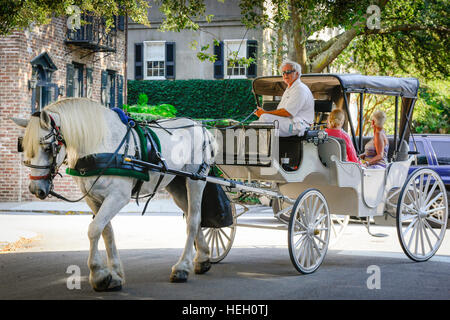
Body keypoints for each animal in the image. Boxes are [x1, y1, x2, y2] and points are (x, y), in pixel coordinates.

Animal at [11, 99, 218, 292]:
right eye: (24, 146)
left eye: (48, 148)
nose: (35, 188)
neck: (99, 145)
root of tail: (200, 127)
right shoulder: (93, 198)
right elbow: (106, 231)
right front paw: (115, 275)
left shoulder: (118, 196)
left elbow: (94, 229)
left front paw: (99, 275)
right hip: (176, 185)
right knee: (192, 216)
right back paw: (202, 258)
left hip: (195, 180)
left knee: (193, 220)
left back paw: (182, 268)